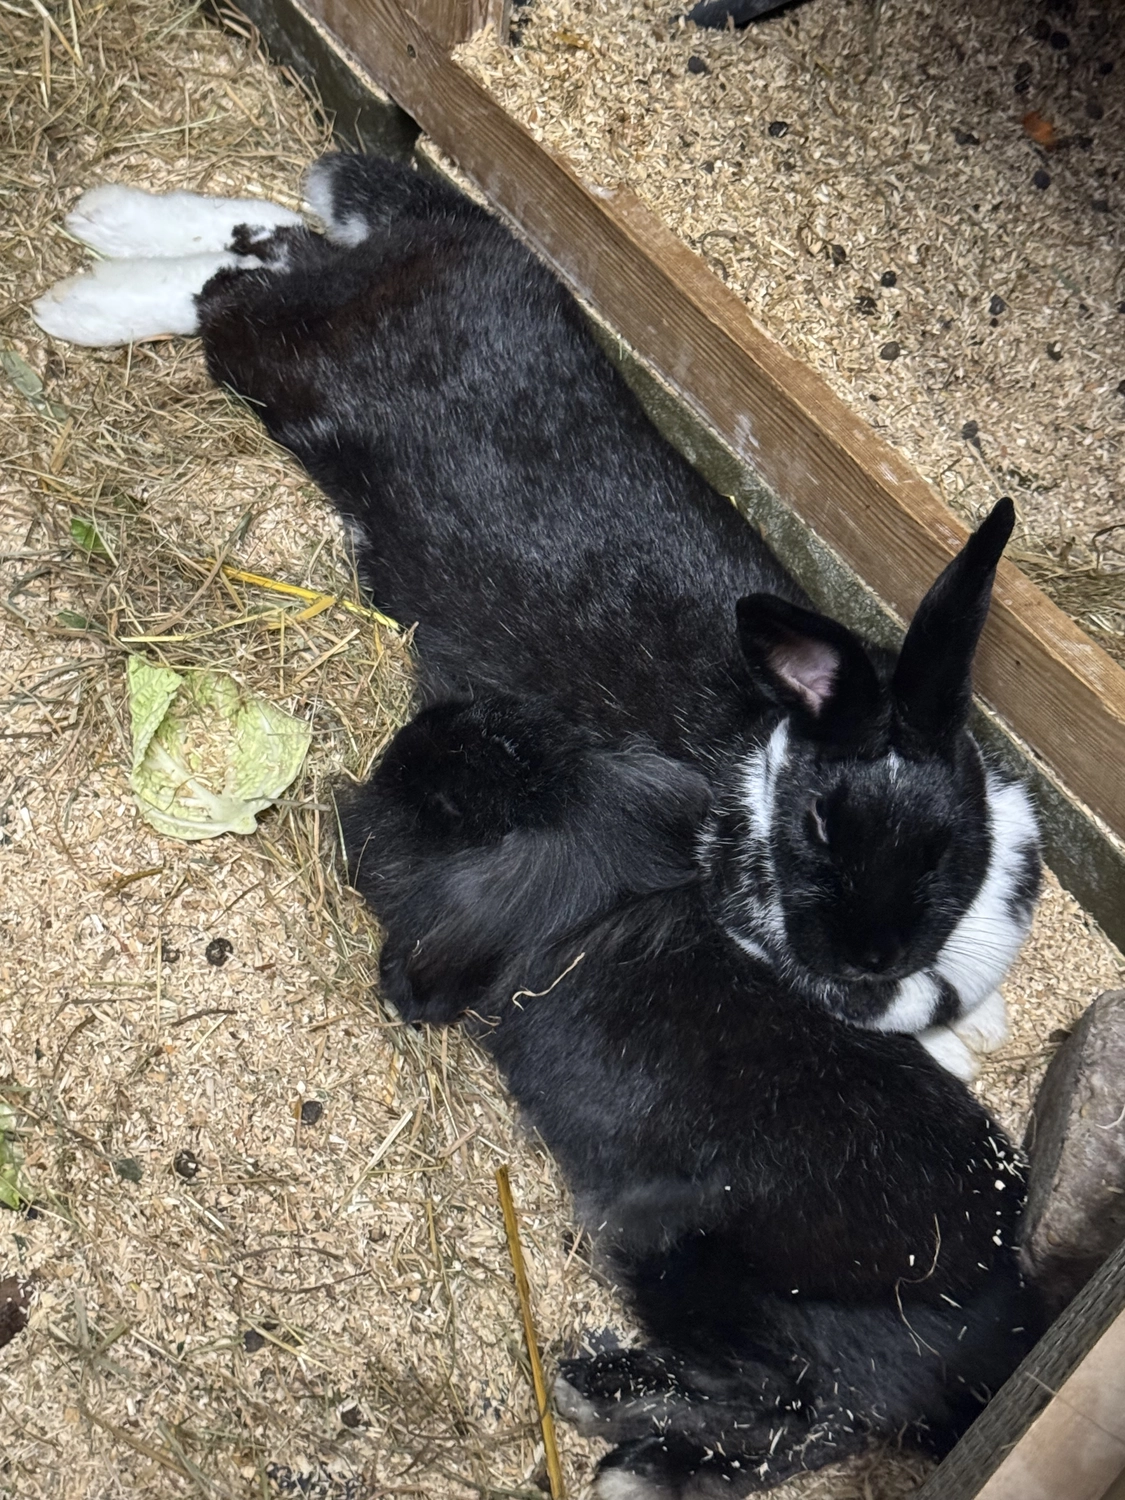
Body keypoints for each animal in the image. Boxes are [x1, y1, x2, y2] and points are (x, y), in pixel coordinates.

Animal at [32, 153, 1040, 1071]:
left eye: (943, 855)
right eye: (822, 827)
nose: (871, 956)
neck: (755, 760)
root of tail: (469, 247)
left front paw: (975, 1030)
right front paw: (960, 1042)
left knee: (277, 240)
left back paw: (105, 224)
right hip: (283, 366)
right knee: (230, 288)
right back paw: (80, 294)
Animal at [342, 689, 1044, 1498]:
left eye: (442, 797)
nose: (397, 754)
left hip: (679, 1250)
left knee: (784, 1406)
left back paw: (609, 1412)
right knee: (808, 1427)